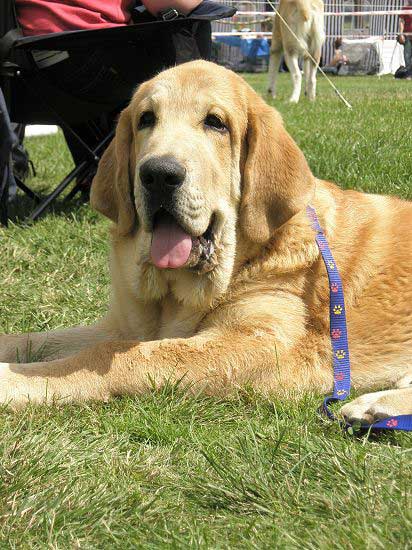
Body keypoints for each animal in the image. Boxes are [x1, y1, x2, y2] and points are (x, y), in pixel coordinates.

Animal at [0, 60, 412, 424]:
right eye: (146, 119)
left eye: (216, 123)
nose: (158, 174)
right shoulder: (120, 326)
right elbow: (38, 339)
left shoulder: (258, 342)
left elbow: (118, 356)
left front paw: (13, 380)